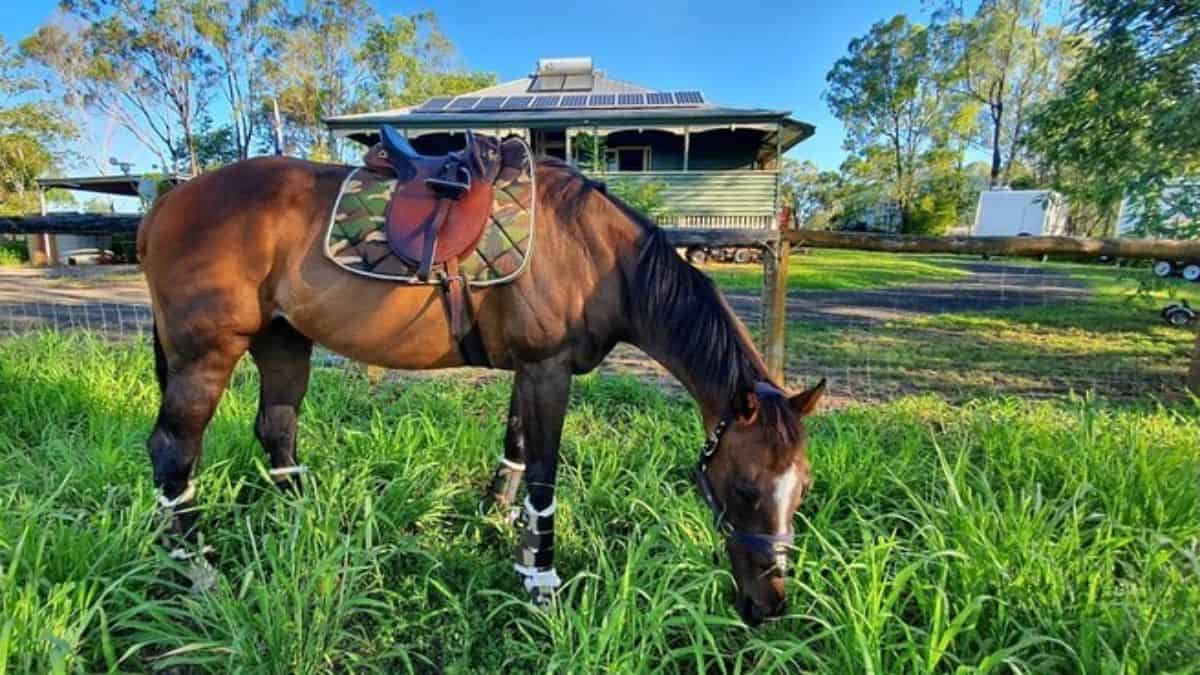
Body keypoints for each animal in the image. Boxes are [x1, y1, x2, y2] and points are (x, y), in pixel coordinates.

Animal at [138, 145, 825, 619]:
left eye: (803, 490)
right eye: (744, 488)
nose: (770, 605)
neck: (598, 257)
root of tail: (166, 203)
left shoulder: (531, 369)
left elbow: (517, 450)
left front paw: (507, 535)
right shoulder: (547, 369)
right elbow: (544, 477)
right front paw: (542, 584)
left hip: (282, 342)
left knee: (277, 431)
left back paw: (307, 528)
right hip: (206, 355)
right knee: (173, 452)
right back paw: (197, 571)